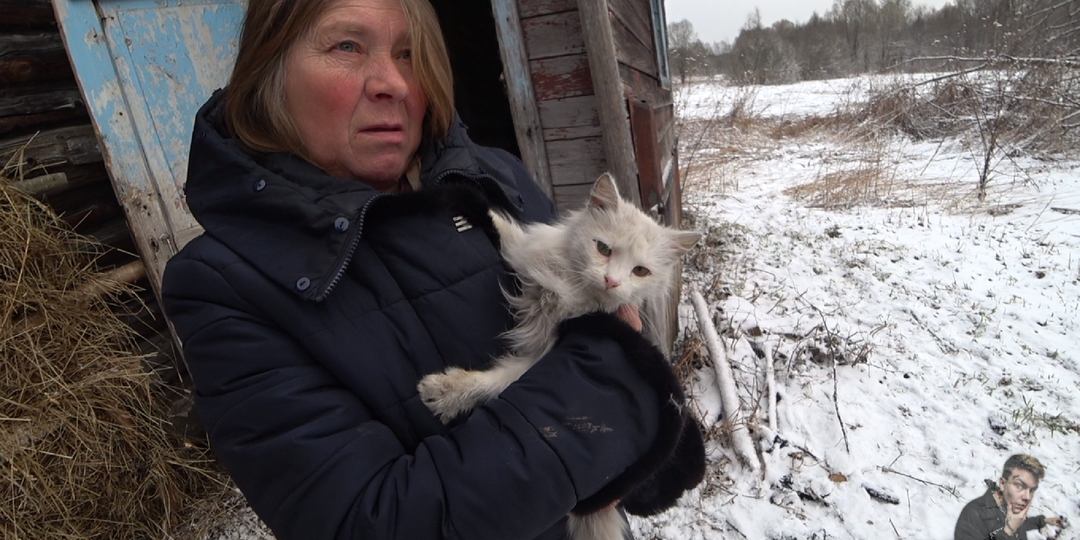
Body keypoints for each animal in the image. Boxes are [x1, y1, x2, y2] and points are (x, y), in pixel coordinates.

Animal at [412, 171, 699, 540]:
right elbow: (509, 233)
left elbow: (496, 381)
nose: (611, 281)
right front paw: (472, 206)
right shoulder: (530, 255)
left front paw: (446, 393)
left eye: (640, 272)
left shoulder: (544, 354)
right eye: (603, 249)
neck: (573, 296)